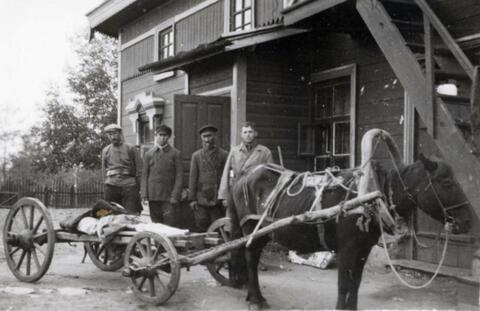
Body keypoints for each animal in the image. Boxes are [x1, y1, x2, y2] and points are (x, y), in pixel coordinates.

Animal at [227, 129, 470, 310]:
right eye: (446, 182)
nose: (467, 221)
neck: (372, 196)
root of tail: (245, 175)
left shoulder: (363, 249)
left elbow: (355, 283)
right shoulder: (346, 249)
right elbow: (343, 284)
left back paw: (252, 295)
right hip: (251, 228)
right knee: (250, 257)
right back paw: (256, 299)